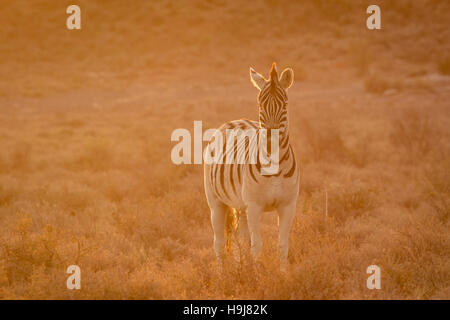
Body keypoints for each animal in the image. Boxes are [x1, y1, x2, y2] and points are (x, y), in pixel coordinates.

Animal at [204, 62, 298, 270]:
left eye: (285, 105)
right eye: (260, 105)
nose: (270, 141)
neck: (275, 166)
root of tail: (234, 120)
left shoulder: (287, 205)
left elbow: (283, 245)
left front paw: (283, 274)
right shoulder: (254, 206)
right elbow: (257, 245)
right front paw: (258, 274)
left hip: (240, 206)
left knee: (239, 236)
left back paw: (241, 267)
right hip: (216, 202)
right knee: (219, 242)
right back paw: (223, 273)